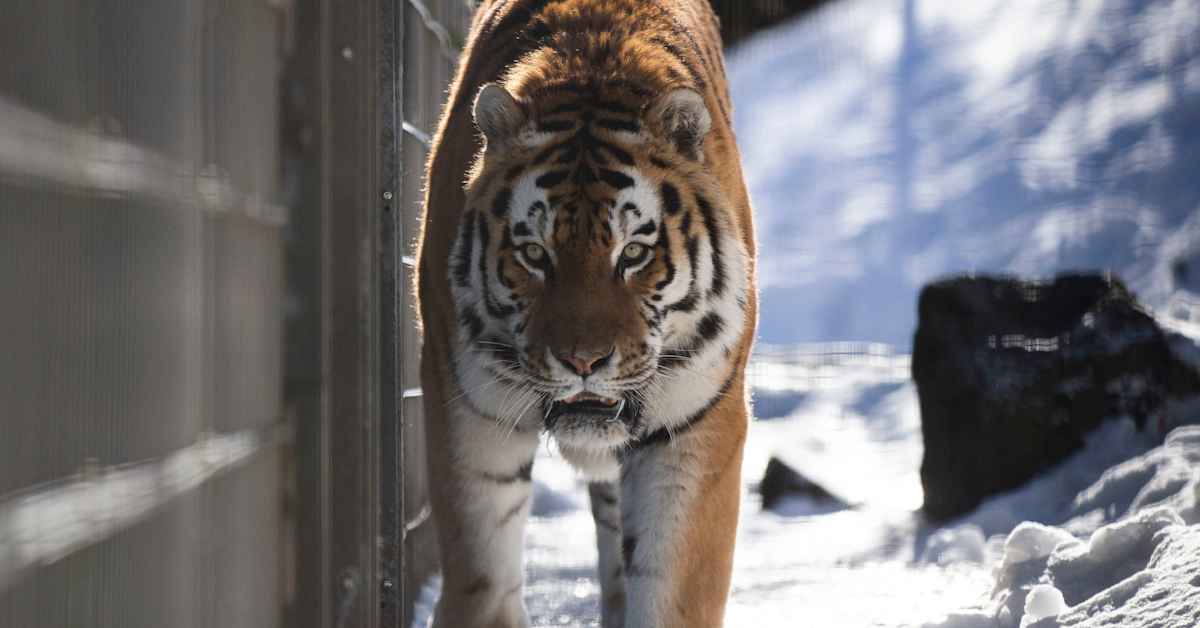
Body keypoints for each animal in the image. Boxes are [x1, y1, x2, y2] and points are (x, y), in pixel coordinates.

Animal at [414, 1, 757, 626]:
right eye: (534, 255)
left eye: (634, 253)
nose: (583, 362)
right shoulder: (470, 412)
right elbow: (485, 581)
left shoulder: (695, 425)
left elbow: (670, 591)